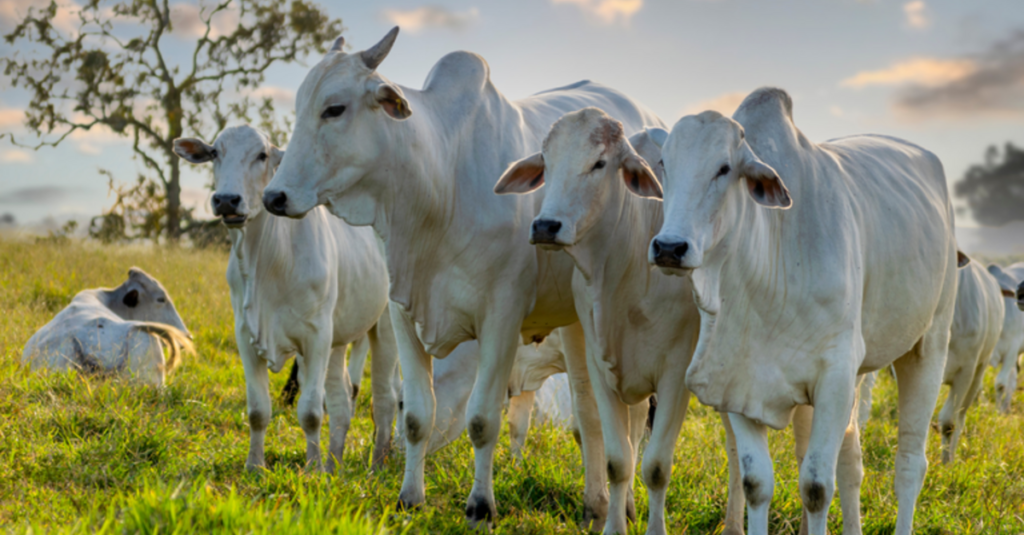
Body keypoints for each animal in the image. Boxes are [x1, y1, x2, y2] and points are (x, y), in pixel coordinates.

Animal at [174, 126, 397, 475]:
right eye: (214, 153)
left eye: (262, 155)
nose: (226, 200)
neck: (266, 262)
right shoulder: (246, 335)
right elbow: (258, 410)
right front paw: (255, 465)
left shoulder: (316, 337)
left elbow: (311, 411)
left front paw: (313, 469)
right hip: (338, 339)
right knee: (341, 399)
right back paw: (334, 463)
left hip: (384, 326)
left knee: (385, 399)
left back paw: (375, 465)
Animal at [260, 26, 659, 528]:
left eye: (335, 108)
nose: (274, 196)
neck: (441, 180)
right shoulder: (402, 314)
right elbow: (418, 416)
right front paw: (409, 498)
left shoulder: (501, 319)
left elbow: (482, 420)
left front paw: (480, 507)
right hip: (575, 320)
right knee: (590, 413)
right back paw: (596, 505)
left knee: (624, 419)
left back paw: (618, 506)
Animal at [643, 88, 962, 532]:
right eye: (664, 164)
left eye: (724, 168)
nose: (670, 248)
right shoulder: (735, 382)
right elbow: (757, 482)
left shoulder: (835, 377)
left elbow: (815, 488)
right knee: (851, 459)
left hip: (928, 346)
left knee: (910, 465)